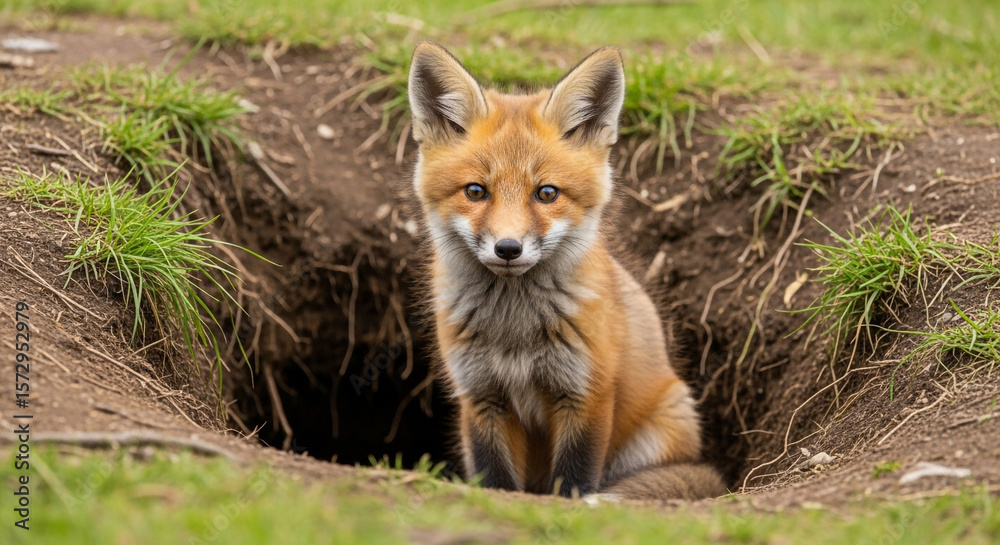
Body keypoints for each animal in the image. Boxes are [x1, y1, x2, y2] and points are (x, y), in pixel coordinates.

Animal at [407, 41, 726, 501]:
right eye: (476, 191)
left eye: (546, 193)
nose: (508, 248)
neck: (514, 331)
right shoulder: (481, 396)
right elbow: (496, 479)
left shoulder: (586, 393)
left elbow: (574, 478)